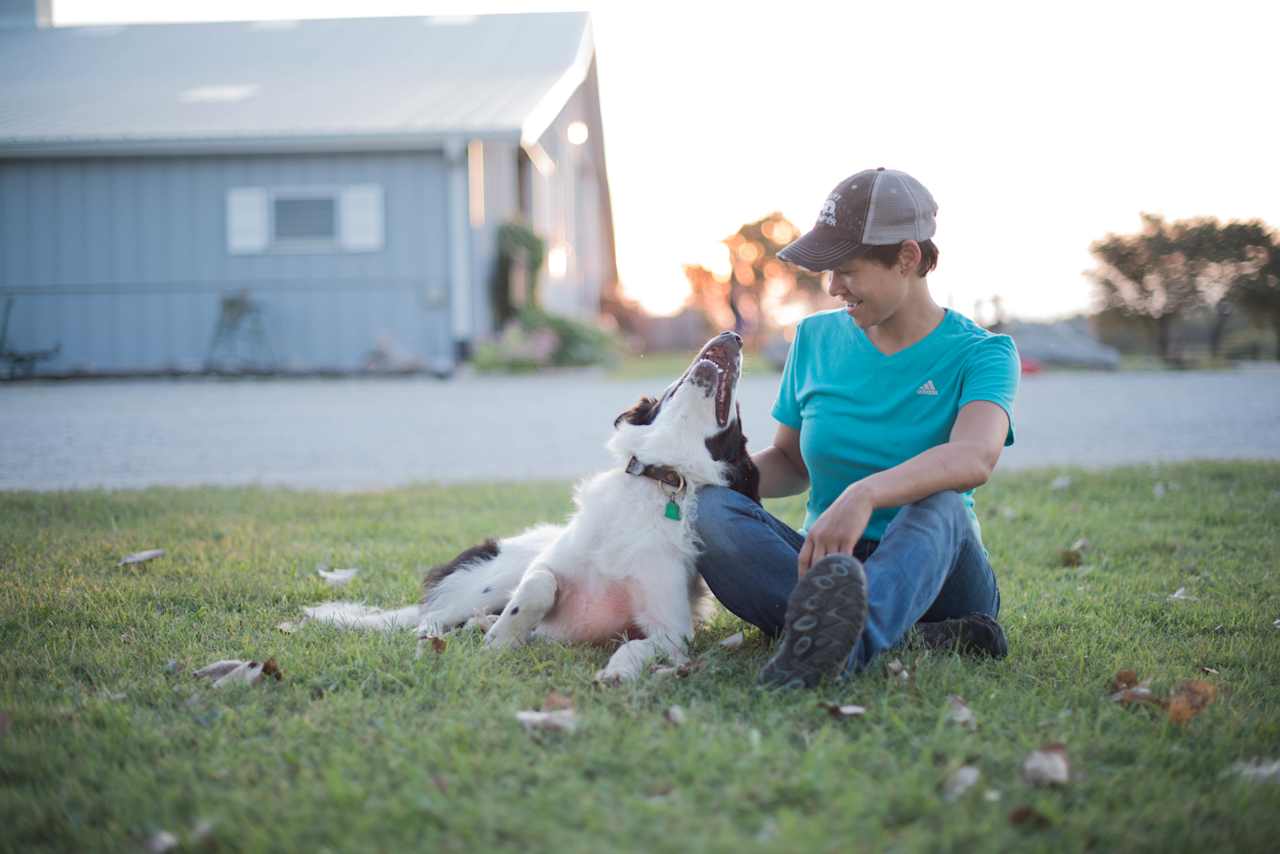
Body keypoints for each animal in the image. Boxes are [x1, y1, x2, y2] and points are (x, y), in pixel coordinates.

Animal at [304, 332, 752, 681]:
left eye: (737, 415)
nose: (734, 335)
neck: (659, 476)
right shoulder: (547, 568)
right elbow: (539, 587)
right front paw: (501, 640)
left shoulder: (670, 631)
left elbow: (637, 647)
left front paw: (618, 672)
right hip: (492, 581)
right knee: (433, 619)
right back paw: (447, 638)